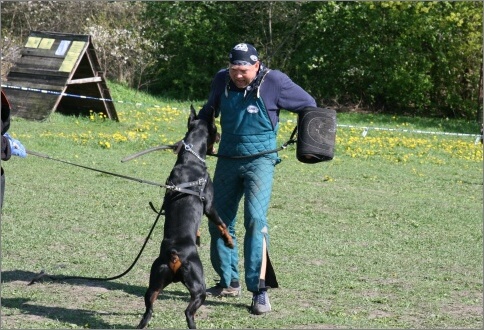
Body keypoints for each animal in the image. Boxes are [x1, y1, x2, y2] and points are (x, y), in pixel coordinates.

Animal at [137, 105, 233, 330]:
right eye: (216, 131)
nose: (221, 136)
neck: (191, 160)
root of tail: (174, 255)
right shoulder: (209, 206)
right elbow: (222, 224)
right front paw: (229, 241)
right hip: (198, 285)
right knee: (189, 312)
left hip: (155, 280)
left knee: (148, 309)